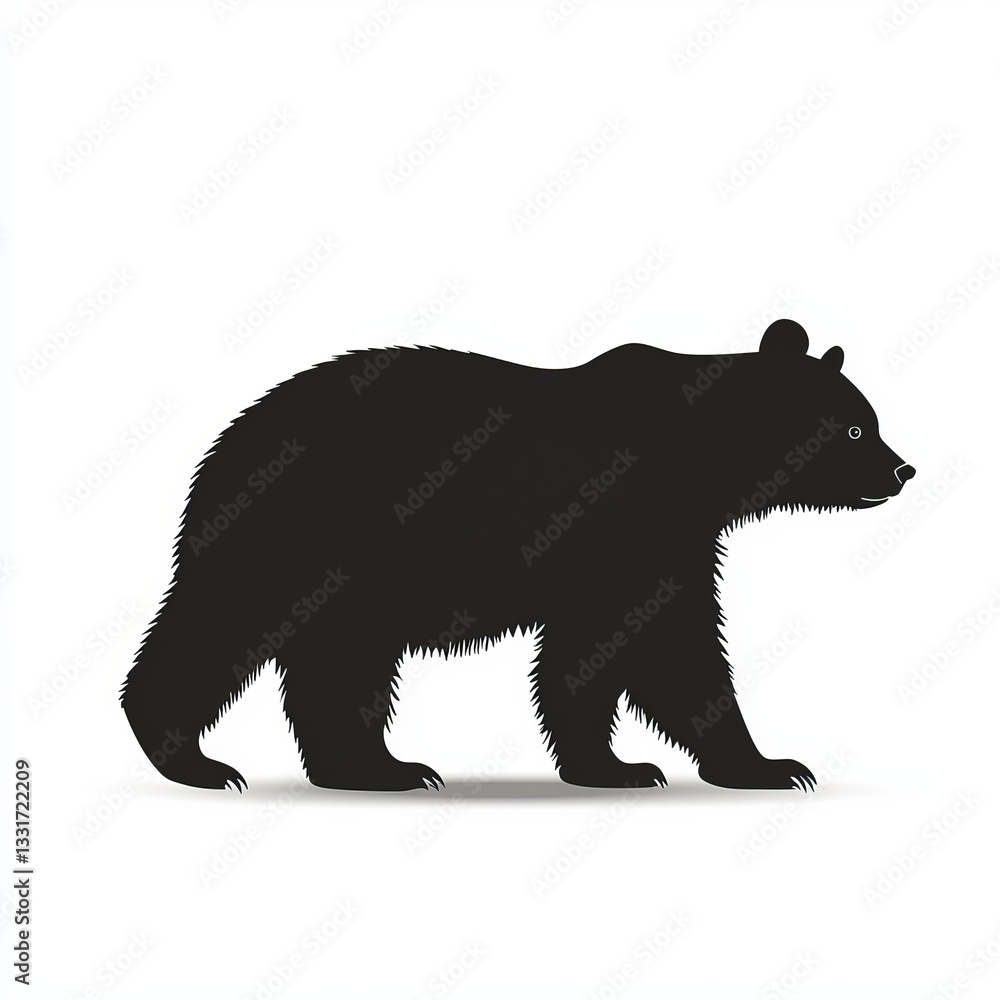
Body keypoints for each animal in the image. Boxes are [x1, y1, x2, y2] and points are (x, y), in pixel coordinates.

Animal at [121, 318, 915, 792]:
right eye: (855, 427)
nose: (903, 469)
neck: (702, 459)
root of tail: (230, 437)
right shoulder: (632, 521)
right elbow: (660, 649)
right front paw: (756, 765)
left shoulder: (655, 541)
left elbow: (618, 648)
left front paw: (629, 763)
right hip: (305, 532)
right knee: (228, 625)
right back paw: (195, 757)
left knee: (336, 660)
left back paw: (371, 767)